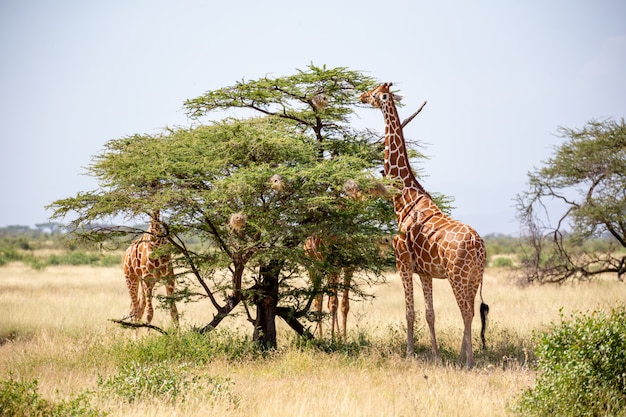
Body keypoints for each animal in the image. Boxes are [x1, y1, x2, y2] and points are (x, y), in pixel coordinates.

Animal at [356, 82, 488, 368]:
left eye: (376, 93)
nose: (361, 96)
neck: (403, 197)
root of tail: (478, 245)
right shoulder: (425, 272)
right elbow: (430, 313)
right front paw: (436, 356)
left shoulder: (402, 263)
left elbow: (409, 312)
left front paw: (409, 354)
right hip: (474, 276)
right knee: (471, 311)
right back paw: (459, 358)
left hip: (458, 275)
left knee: (467, 312)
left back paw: (469, 362)